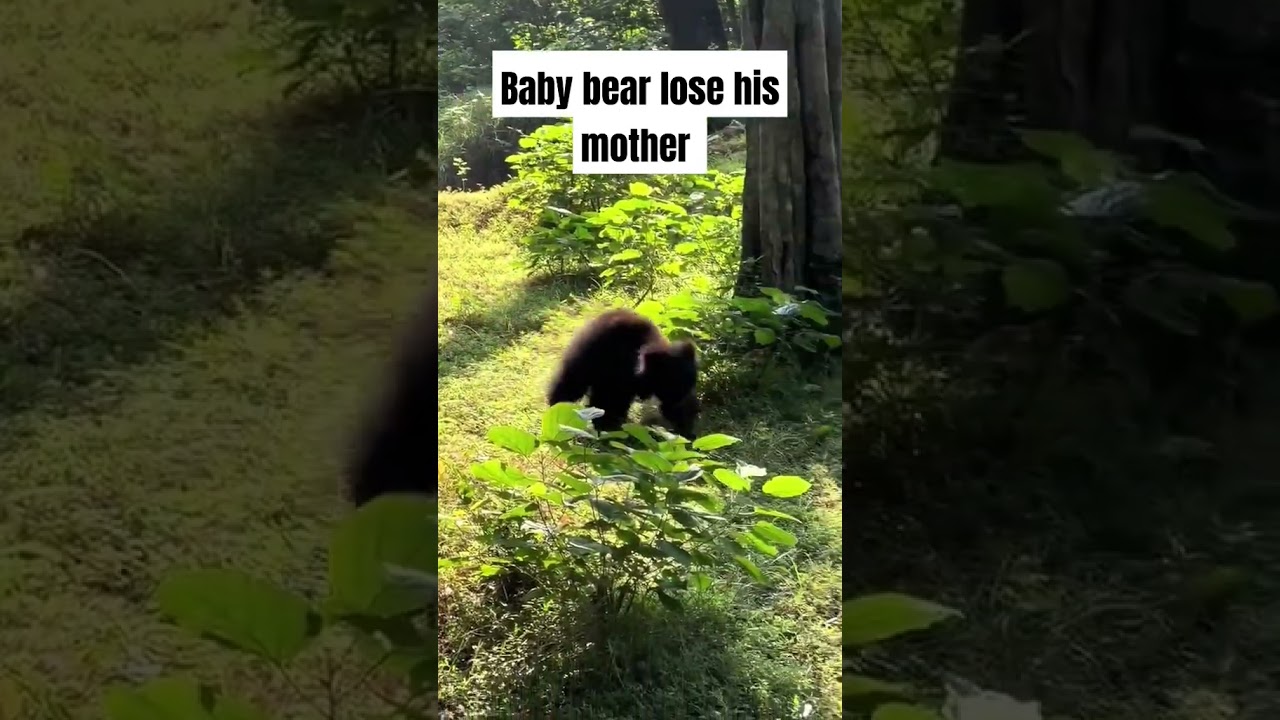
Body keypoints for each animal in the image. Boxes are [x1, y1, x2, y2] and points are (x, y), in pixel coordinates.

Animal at [547, 308, 700, 439]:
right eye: (671, 386)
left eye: (689, 384)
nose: (687, 427)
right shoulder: (619, 372)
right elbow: (611, 399)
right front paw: (608, 424)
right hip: (587, 358)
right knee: (572, 383)